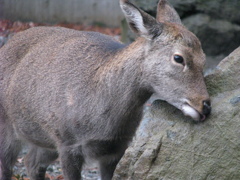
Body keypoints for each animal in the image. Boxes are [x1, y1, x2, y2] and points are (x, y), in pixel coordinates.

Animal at [0, 0, 210, 180]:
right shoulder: (68, 142)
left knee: (31, 161)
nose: (205, 105)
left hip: (44, 139)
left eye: (204, 58)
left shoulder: (116, 148)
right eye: (178, 58)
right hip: (7, 126)